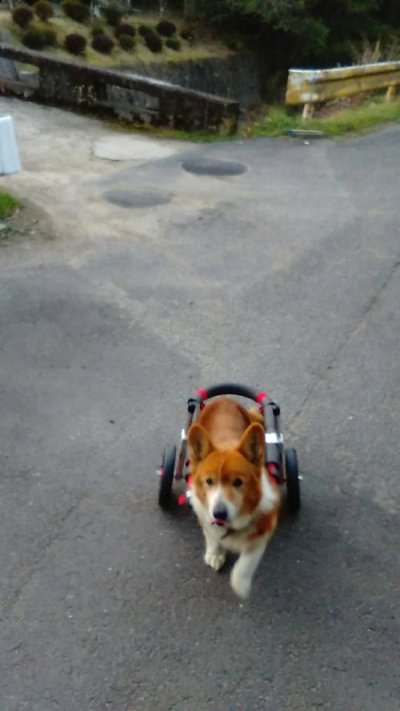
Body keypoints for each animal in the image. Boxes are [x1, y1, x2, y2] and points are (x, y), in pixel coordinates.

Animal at [187, 398, 278, 596]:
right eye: (209, 481)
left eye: (238, 482)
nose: (219, 513)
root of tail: (225, 399)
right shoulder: (204, 513)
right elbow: (212, 535)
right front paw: (215, 554)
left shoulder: (263, 531)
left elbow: (246, 561)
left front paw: (240, 585)